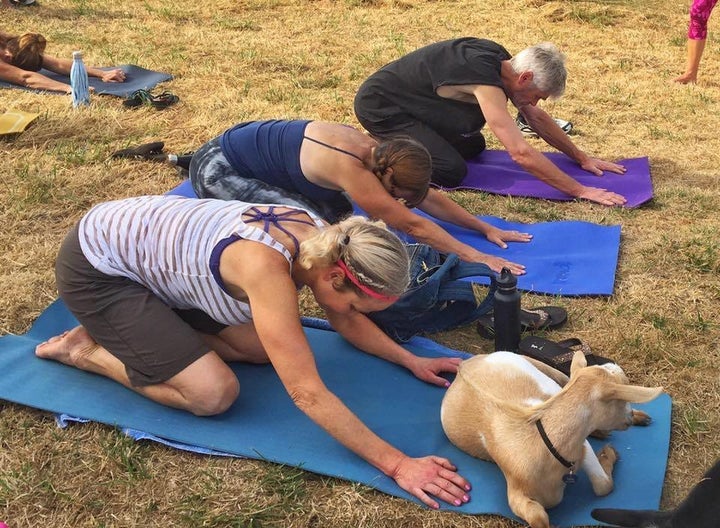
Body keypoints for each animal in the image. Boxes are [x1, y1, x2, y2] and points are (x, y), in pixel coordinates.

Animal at [442, 350, 668, 528]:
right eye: (621, 399)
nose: (628, 417)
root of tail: (465, 363)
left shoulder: (581, 447)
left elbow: (603, 485)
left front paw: (607, 453)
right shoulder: (516, 493)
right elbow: (538, 517)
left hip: (545, 369)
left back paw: (638, 418)